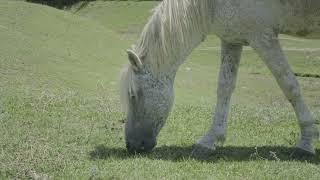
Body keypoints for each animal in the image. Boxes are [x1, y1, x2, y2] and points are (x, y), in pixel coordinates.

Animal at [120, 0, 320, 157]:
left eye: (133, 95)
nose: (131, 145)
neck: (212, 4)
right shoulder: (232, 40)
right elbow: (225, 87)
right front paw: (210, 140)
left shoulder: (263, 38)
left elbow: (289, 85)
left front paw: (306, 141)